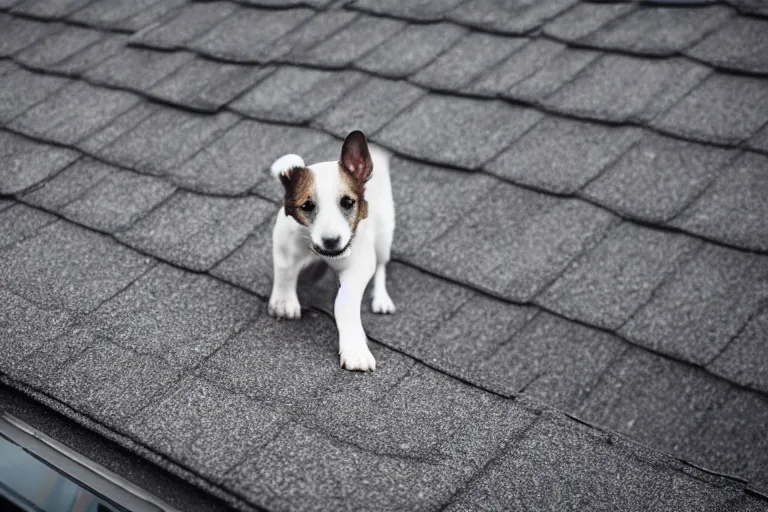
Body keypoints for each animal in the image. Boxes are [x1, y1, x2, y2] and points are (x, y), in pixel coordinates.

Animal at [268, 131, 396, 372]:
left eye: (347, 202)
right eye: (307, 206)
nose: (331, 241)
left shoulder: (359, 265)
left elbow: (345, 302)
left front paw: (354, 349)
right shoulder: (284, 240)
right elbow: (285, 270)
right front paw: (283, 301)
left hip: (385, 233)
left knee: (382, 265)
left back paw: (381, 299)